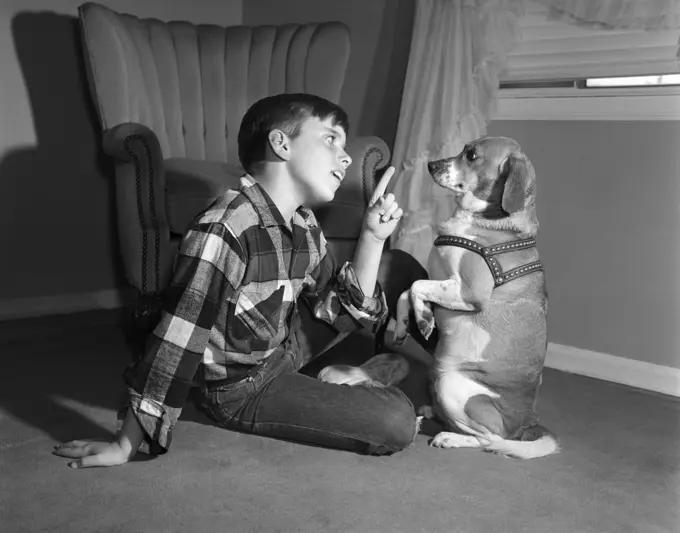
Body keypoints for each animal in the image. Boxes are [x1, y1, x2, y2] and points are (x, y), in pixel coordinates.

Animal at [394, 136, 556, 458]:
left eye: (471, 155)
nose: (431, 165)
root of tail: (527, 422)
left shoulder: (469, 291)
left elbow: (416, 284)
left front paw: (424, 319)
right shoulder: (443, 282)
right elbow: (408, 290)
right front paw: (408, 320)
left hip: (451, 383)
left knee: (488, 439)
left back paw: (451, 437)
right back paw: (432, 412)